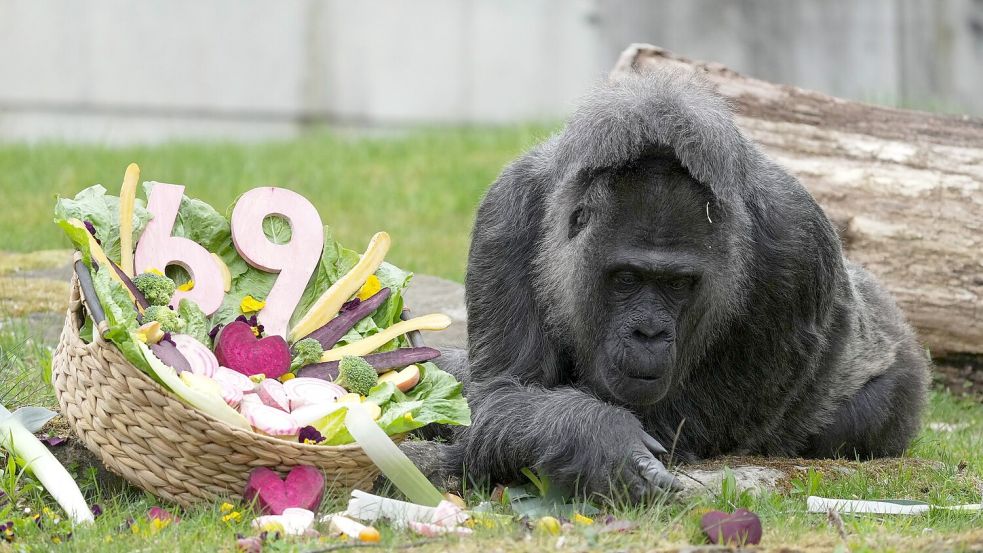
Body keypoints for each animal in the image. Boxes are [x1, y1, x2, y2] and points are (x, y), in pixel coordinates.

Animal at [436, 69, 931, 502]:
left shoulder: (798, 244)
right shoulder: (507, 212)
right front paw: (594, 439)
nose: (649, 333)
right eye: (627, 279)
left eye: (677, 284)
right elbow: (503, 395)